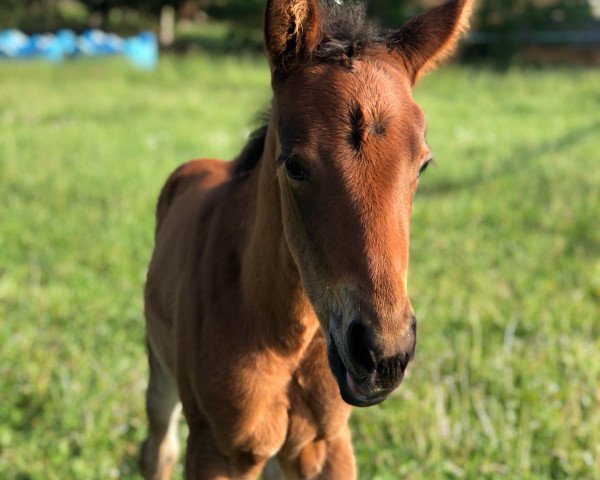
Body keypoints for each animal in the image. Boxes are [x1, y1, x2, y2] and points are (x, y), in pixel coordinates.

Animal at [139, 1, 474, 478]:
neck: (284, 336)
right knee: (157, 447)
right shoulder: (217, 450)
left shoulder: (325, 442)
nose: (383, 354)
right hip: (159, 364)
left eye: (423, 164)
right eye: (294, 165)